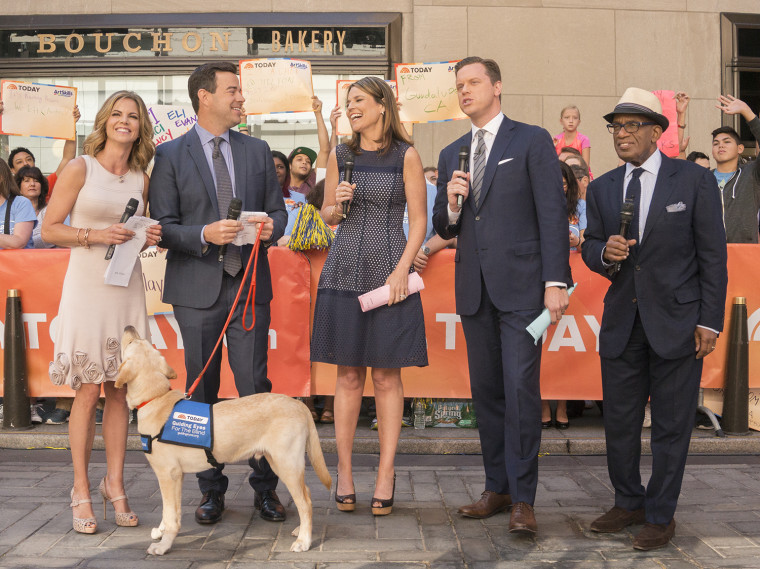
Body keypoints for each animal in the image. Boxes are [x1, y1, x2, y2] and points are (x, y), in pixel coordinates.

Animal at [117, 326, 332, 552]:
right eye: (141, 341)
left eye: (132, 342)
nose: (129, 327)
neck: (155, 398)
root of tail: (299, 404)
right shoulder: (176, 476)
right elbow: (170, 511)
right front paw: (161, 531)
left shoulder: (168, 474)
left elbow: (170, 514)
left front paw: (164, 545)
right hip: (280, 461)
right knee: (306, 495)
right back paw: (300, 531)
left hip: (286, 463)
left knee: (305, 502)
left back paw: (304, 540)